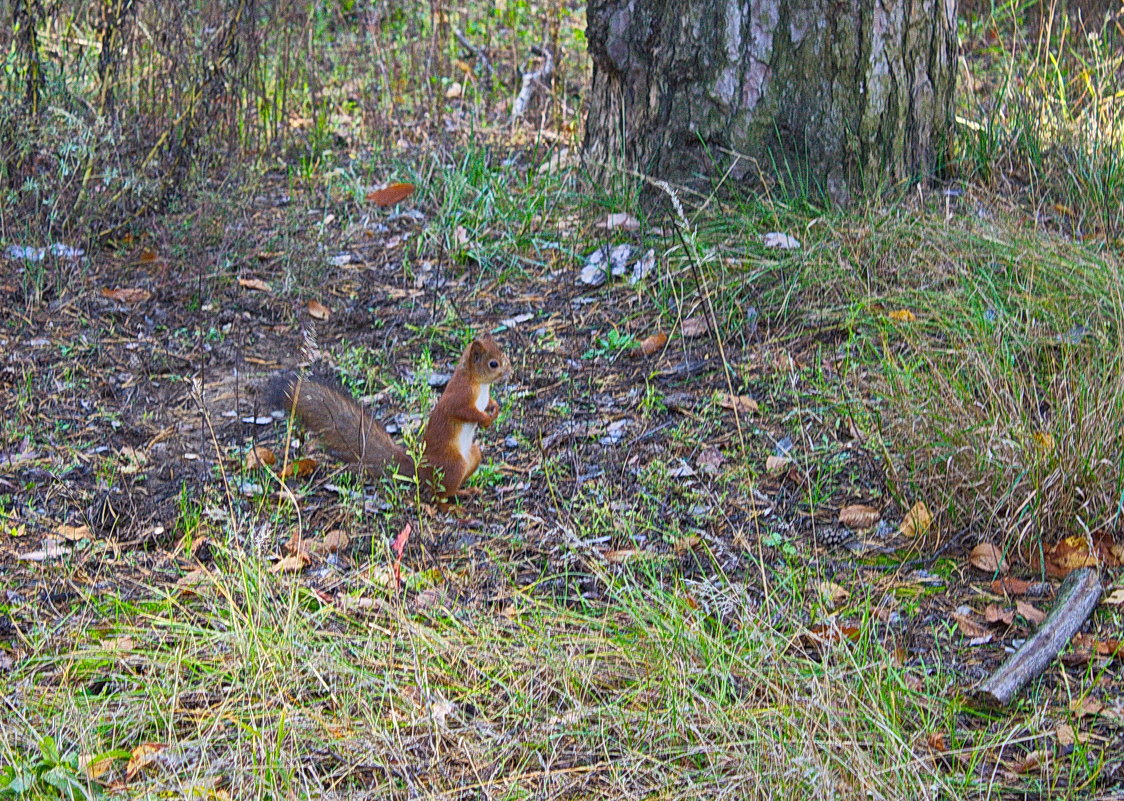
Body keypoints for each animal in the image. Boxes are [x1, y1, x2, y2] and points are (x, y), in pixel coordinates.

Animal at [267, 334, 510, 503]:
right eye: (493, 364)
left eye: (503, 355)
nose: (510, 371)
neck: (479, 384)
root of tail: (420, 469)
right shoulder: (459, 396)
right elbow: (463, 411)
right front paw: (485, 419)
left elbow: (489, 403)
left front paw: (495, 408)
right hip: (453, 465)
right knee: (437, 496)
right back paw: (452, 506)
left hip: (473, 455)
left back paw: (466, 490)